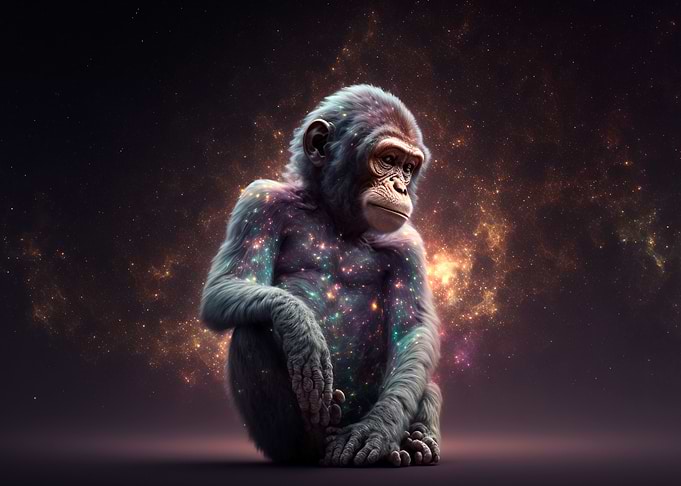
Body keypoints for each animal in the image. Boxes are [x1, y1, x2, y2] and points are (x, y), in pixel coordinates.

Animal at [201, 85, 441, 467]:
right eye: (388, 159)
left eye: (408, 167)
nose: (401, 187)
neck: (335, 215)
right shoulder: (259, 200)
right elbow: (231, 282)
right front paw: (304, 336)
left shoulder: (409, 247)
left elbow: (411, 329)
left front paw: (377, 428)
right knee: (252, 329)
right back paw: (313, 442)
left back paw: (415, 442)